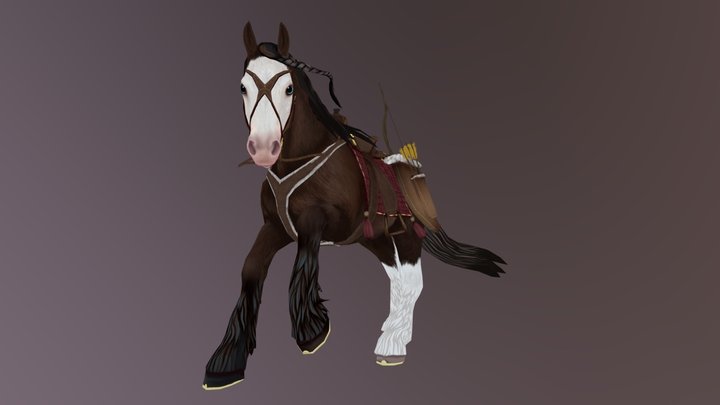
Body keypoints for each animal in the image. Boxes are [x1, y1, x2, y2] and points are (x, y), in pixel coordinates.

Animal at [202, 22, 507, 390]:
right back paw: (392, 337)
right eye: (243, 87)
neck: (295, 163)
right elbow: (250, 269)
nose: (263, 147)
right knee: (398, 281)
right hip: (376, 239)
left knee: (412, 283)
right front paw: (226, 360)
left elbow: (304, 261)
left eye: (288, 88)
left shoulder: (320, 221)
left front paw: (312, 331)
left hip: (405, 237)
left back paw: (392, 345)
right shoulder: (275, 226)